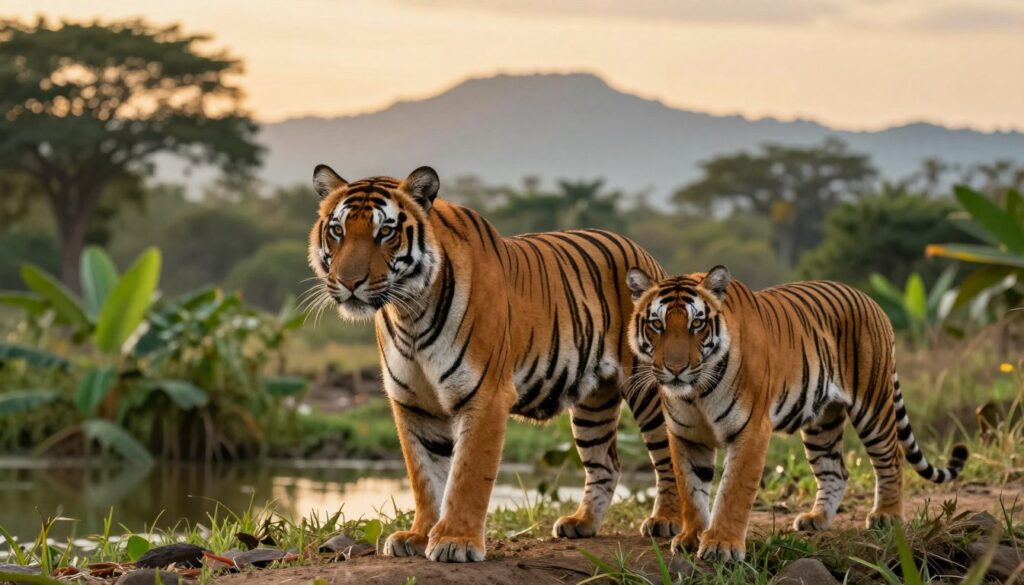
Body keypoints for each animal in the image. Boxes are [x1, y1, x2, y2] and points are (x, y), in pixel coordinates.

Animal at [306, 164, 681, 563]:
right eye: (338, 231)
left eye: (386, 232)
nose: (349, 282)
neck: (409, 313)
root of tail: (642, 253)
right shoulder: (413, 403)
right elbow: (425, 477)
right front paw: (419, 536)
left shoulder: (484, 395)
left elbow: (467, 475)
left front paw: (455, 541)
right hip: (592, 405)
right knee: (606, 463)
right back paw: (581, 523)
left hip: (651, 388)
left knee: (668, 455)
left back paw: (667, 521)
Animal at [625, 265, 968, 562]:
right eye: (657, 324)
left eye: (696, 324)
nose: (676, 369)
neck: (695, 394)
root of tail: (872, 301)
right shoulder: (685, 435)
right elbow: (691, 491)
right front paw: (691, 537)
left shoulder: (751, 430)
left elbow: (732, 491)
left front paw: (722, 545)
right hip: (822, 422)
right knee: (835, 470)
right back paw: (817, 518)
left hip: (873, 405)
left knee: (891, 458)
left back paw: (887, 516)